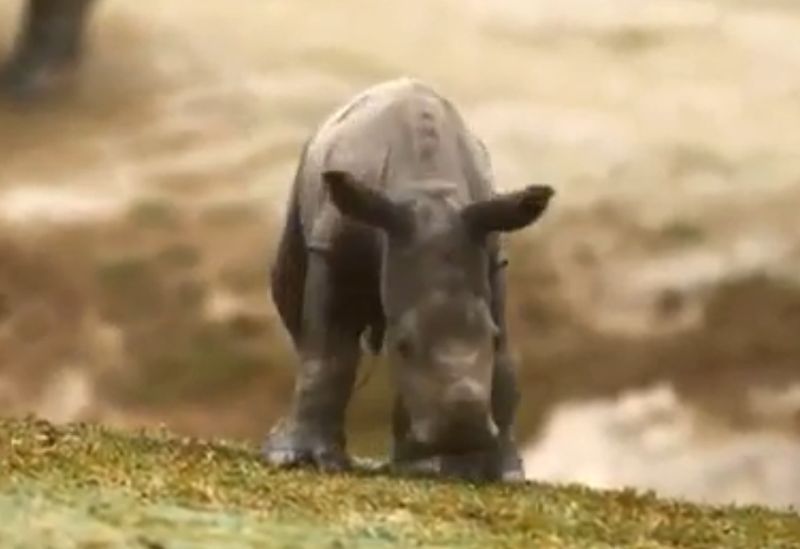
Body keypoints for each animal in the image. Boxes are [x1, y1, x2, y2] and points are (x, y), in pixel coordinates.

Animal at [263, 78, 554, 482]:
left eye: (493, 337)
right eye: (401, 346)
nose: (462, 431)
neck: (428, 191)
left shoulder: (493, 256)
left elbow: (506, 367)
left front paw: (501, 473)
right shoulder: (335, 249)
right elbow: (328, 356)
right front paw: (301, 461)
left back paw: (418, 465)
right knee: (293, 306)